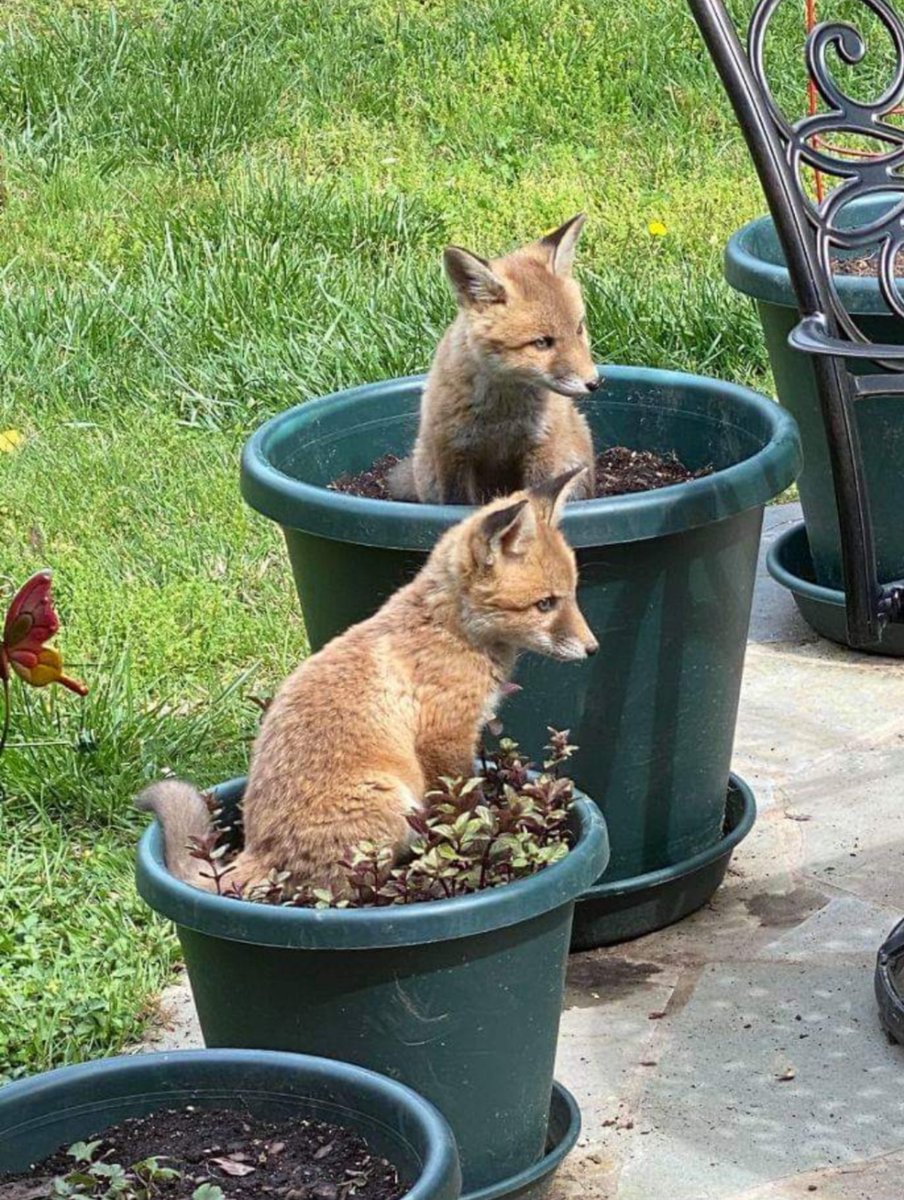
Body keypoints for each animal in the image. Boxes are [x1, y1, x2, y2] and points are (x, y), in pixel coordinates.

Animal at [136, 468, 597, 896]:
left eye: (572, 594)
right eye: (545, 604)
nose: (593, 649)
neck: (450, 632)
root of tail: (256, 850)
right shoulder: (444, 738)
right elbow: (465, 808)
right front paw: (480, 847)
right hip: (389, 801)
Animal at [387, 214, 598, 506]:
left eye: (579, 329)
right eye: (542, 342)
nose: (595, 382)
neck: (503, 414)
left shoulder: (541, 446)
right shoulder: (453, 451)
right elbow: (457, 503)